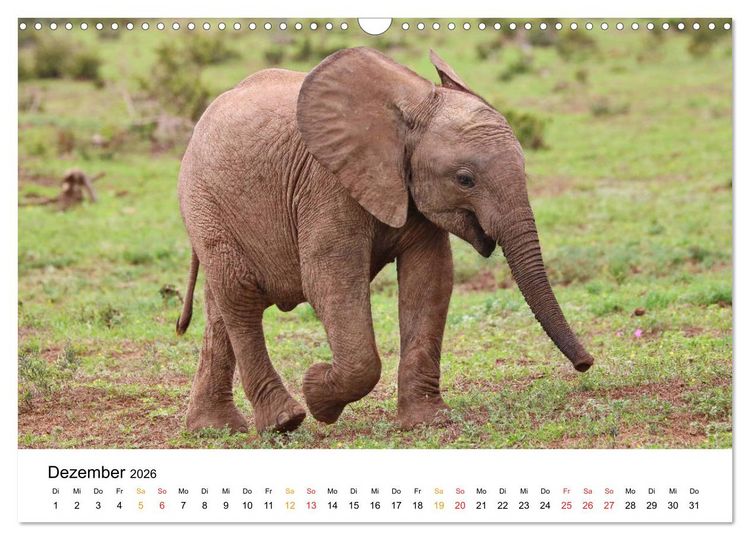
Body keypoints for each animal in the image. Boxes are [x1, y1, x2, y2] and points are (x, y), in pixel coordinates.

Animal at [175, 47, 594, 435]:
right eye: (465, 179)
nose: (586, 364)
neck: (412, 105)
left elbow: (430, 277)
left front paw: (427, 421)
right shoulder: (326, 183)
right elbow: (329, 281)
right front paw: (317, 393)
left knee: (220, 309)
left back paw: (215, 427)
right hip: (204, 202)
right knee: (239, 297)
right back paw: (284, 422)